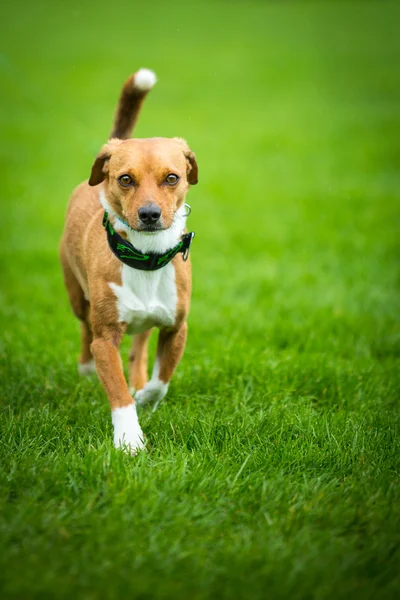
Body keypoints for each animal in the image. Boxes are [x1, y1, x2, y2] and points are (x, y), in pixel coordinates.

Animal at [59, 69, 197, 454]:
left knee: (140, 342)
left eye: (172, 177)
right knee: (84, 327)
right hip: (77, 296)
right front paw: (129, 439)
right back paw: (86, 370)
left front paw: (146, 394)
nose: (149, 214)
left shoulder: (176, 327)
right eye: (125, 179)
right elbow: (118, 393)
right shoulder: (106, 338)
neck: (146, 259)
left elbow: (161, 380)